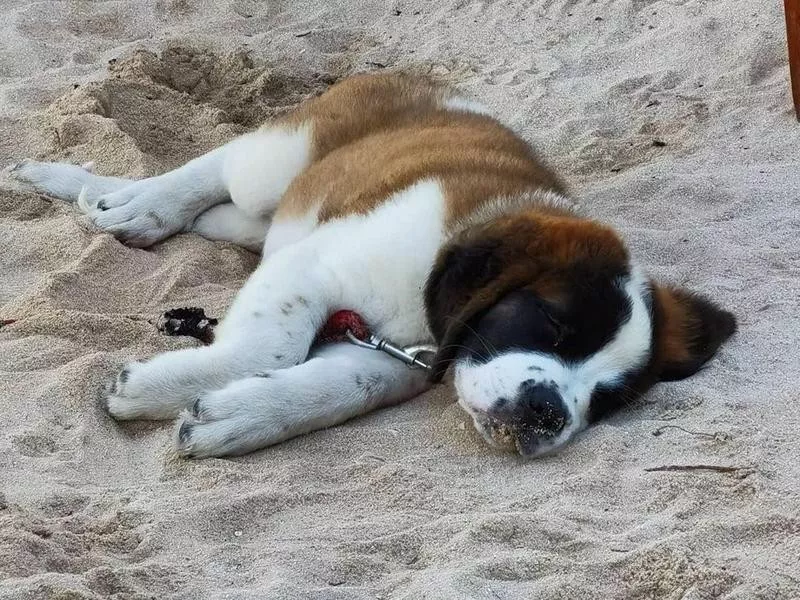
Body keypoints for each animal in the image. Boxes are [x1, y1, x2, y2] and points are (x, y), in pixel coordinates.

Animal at [6, 75, 736, 460]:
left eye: (607, 400)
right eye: (552, 326)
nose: (548, 412)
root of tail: (423, 82)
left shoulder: (397, 357)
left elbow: (341, 387)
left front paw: (239, 415)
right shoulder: (311, 266)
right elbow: (272, 347)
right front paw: (158, 386)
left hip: (264, 216)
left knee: (221, 215)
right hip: (275, 164)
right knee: (213, 168)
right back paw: (142, 206)